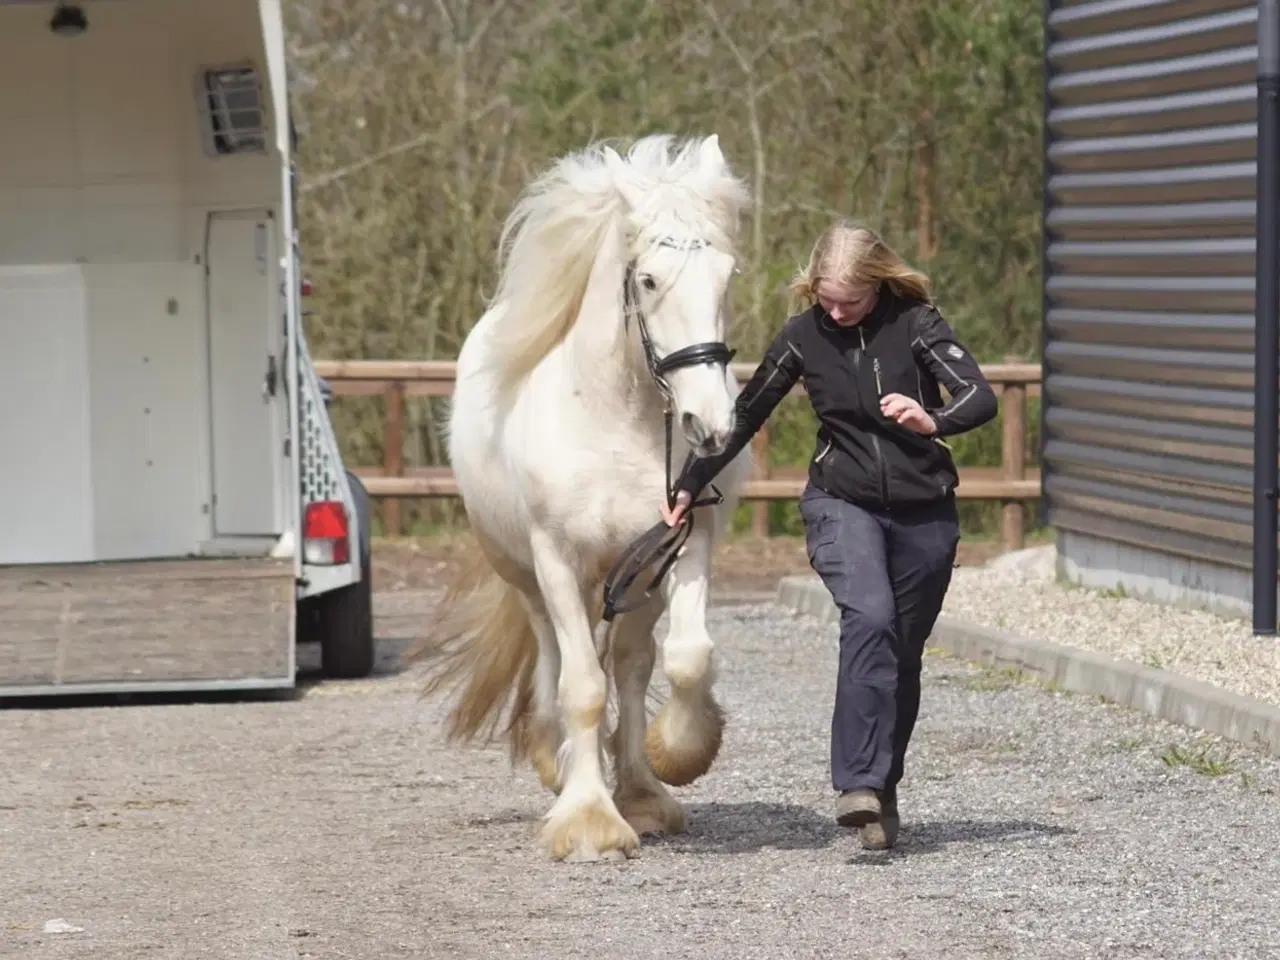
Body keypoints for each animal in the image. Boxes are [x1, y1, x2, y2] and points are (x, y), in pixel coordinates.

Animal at [409, 131, 752, 860]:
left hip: (635, 583)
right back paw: (554, 758)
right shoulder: (558, 562)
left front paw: (678, 755)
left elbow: (686, 660)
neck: (615, 420)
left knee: (631, 661)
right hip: (527, 577)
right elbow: (583, 685)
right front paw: (589, 820)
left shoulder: (683, 547)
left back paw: (641, 793)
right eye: (647, 280)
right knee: (554, 658)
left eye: (726, 276)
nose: (711, 426)